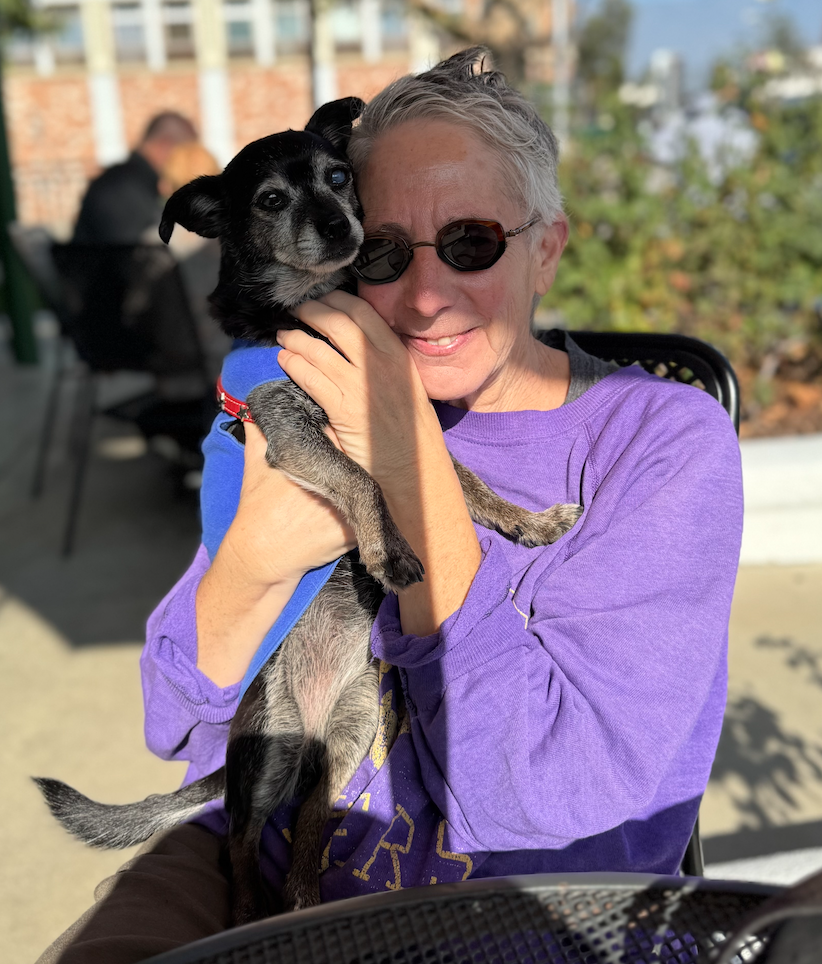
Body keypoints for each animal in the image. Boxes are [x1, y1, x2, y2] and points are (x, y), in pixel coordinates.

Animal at [33, 98, 584, 928]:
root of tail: (302, 727)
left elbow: (462, 482)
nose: (338, 225)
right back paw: (246, 912)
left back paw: (300, 904)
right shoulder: (292, 431)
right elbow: (361, 480)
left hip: (349, 740)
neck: (308, 310)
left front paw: (526, 521)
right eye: (269, 200)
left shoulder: (402, 428)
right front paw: (389, 548)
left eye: (338, 177)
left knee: (307, 840)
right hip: (269, 751)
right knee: (237, 845)